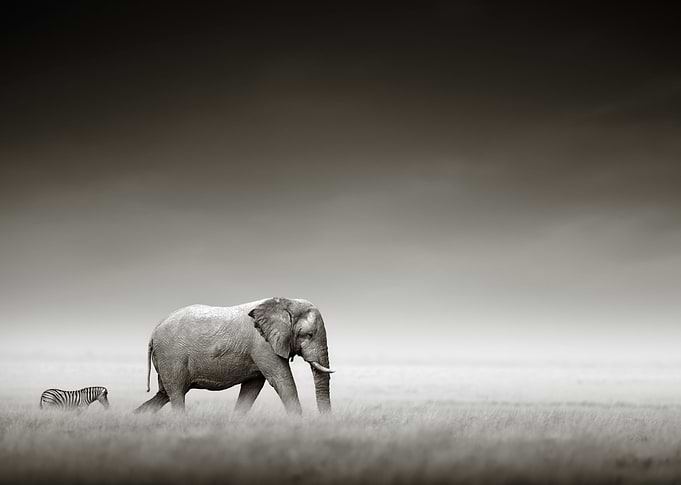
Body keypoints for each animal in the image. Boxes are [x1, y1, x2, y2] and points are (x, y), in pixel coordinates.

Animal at [135, 297, 333, 415]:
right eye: (308, 335)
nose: (324, 422)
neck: (285, 302)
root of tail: (154, 331)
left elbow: (252, 388)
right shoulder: (262, 345)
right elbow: (282, 381)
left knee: (164, 394)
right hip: (171, 356)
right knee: (176, 393)